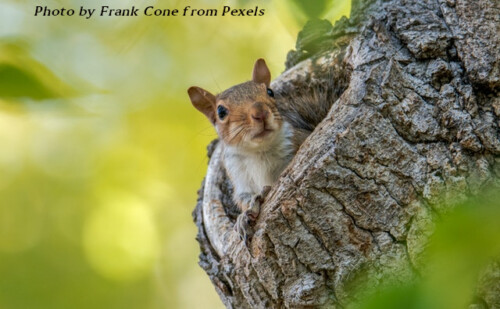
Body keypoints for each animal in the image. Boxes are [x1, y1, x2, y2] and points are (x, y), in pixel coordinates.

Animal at [187, 59, 332, 244]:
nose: (260, 112)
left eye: (270, 92)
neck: (259, 151)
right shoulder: (239, 176)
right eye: (220, 111)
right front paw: (243, 217)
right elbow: (244, 198)